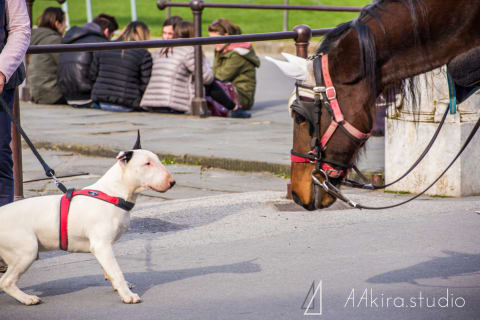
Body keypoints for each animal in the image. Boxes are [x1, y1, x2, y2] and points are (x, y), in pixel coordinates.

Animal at [0, 135, 175, 304]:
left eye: (158, 160)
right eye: (147, 163)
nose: (172, 182)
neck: (114, 193)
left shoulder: (101, 247)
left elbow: (109, 270)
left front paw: (119, 285)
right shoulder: (102, 245)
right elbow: (116, 271)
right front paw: (127, 295)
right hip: (27, 251)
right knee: (6, 282)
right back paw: (27, 298)